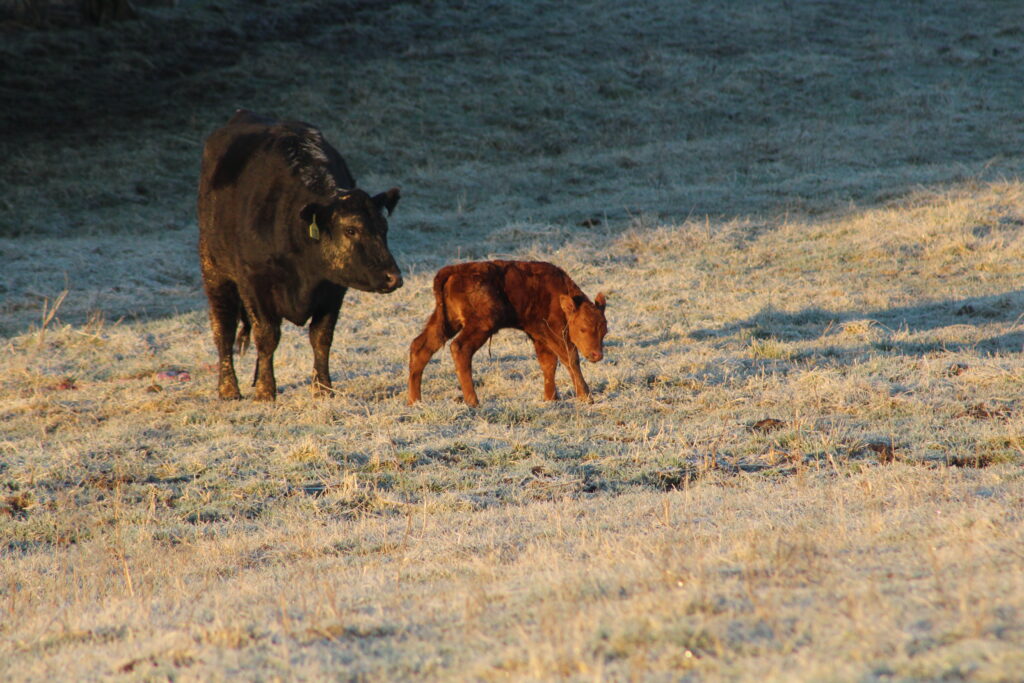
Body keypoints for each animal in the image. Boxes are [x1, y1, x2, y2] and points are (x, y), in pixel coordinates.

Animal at [195, 110, 403, 403]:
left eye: (384, 228)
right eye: (350, 230)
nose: (393, 277)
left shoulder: (333, 289)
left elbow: (321, 337)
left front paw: (323, 388)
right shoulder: (254, 283)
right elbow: (267, 335)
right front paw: (265, 392)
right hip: (214, 269)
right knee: (223, 328)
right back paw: (228, 389)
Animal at [403, 262, 602, 405]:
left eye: (604, 330)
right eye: (583, 328)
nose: (597, 355)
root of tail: (452, 271)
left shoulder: (538, 335)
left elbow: (548, 363)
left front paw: (551, 397)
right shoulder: (553, 331)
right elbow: (570, 358)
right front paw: (586, 397)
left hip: (447, 322)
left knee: (421, 347)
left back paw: (414, 401)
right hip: (482, 325)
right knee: (459, 348)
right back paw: (473, 401)